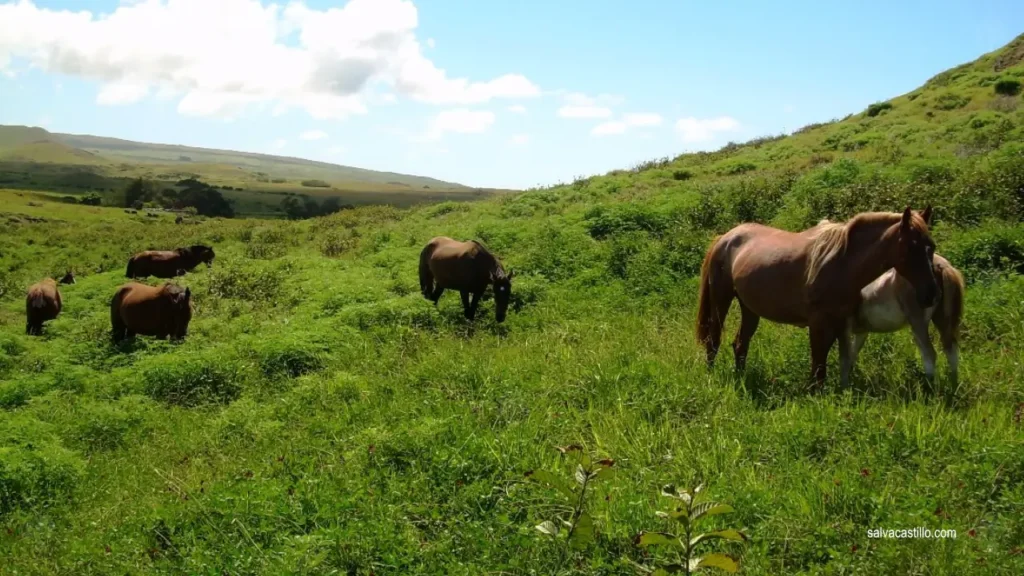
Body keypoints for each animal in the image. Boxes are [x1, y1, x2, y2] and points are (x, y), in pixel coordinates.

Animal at [692, 204, 937, 385]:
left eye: (931, 246)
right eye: (911, 247)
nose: (931, 294)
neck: (842, 262)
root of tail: (725, 238)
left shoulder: (839, 321)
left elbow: (827, 359)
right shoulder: (818, 322)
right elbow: (818, 360)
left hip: (750, 307)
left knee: (740, 344)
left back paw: (741, 378)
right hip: (721, 300)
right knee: (714, 340)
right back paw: (712, 376)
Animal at [839, 251, 958, 385]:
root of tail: (941, 266)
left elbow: (844, 358)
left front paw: (843, 386)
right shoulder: (861, 331)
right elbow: (852, 354)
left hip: (918, 323)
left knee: (929, 353)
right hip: (943, 320)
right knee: (951, 349)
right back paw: (953, 385)